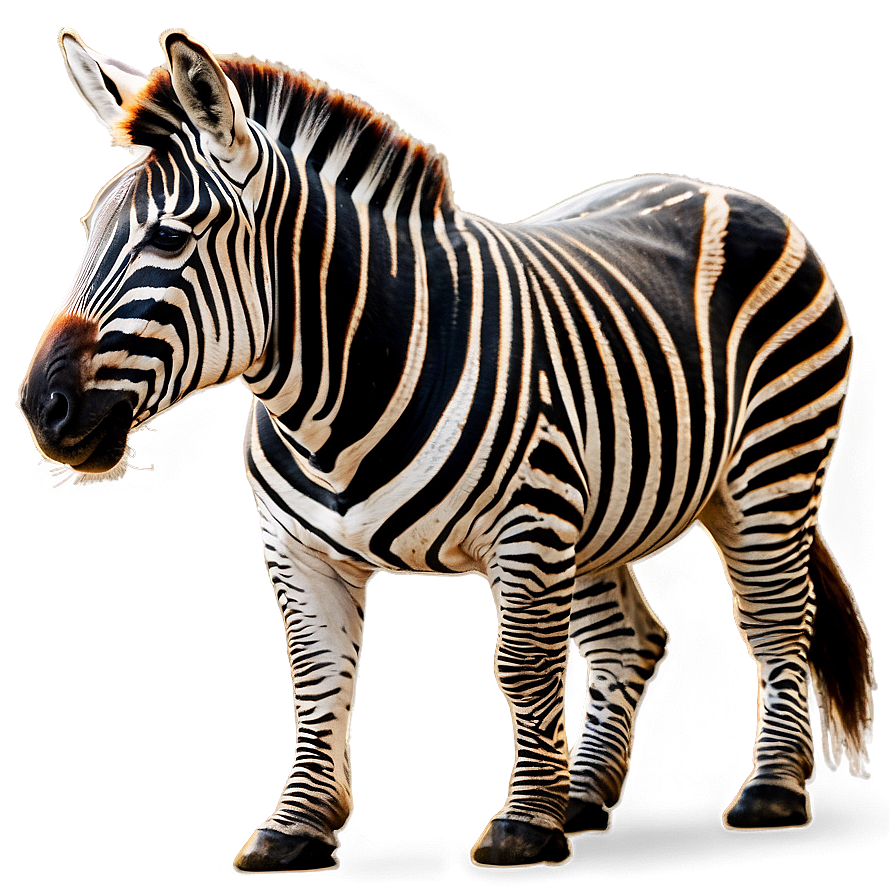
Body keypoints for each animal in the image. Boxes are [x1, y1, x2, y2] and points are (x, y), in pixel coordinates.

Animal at [19, 28, 872, 871]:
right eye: (89, 229)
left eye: (169, 237)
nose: (39, 409)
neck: (335, 401)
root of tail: (718, 187)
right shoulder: (297, 548)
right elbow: (316, 679)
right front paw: (297, 827)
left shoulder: (531, 525)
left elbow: (523, 668)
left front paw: (525, 826)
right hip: (602, 508)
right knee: (630, 640)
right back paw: (585, 796)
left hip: (770, 466)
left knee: (777, 621)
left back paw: (770, 791)